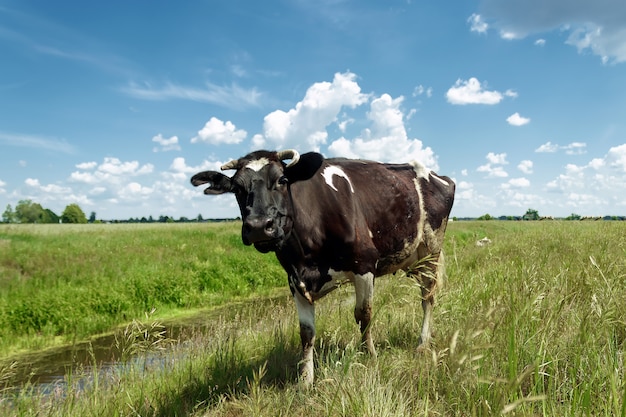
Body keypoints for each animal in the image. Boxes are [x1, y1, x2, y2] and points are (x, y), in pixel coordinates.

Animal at [190, 150, 454, 384]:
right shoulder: (294, 280)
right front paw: (305, 379)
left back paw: (422, 343)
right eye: (236, 188)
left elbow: (364, 314)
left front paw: (369, 355)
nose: (258, 226)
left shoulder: (365, 265)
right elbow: (306, 332)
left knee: (427, 298)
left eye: (282, 180)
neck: (305, 256)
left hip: (431, 251)